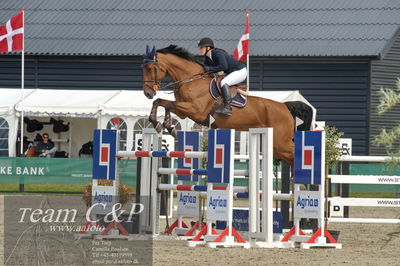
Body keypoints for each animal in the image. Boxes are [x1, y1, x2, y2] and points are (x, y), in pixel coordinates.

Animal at [142, 45, 310, 166]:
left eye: (150, 68)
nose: (148, 93)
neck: (190, 80)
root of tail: (285, 107)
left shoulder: (195, 110)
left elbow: (168, 105)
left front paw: (168, 127)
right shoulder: (184, 112)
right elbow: (161, 102)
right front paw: (157, 123)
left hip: (280, 142)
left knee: (295, 155)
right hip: (274, 144)